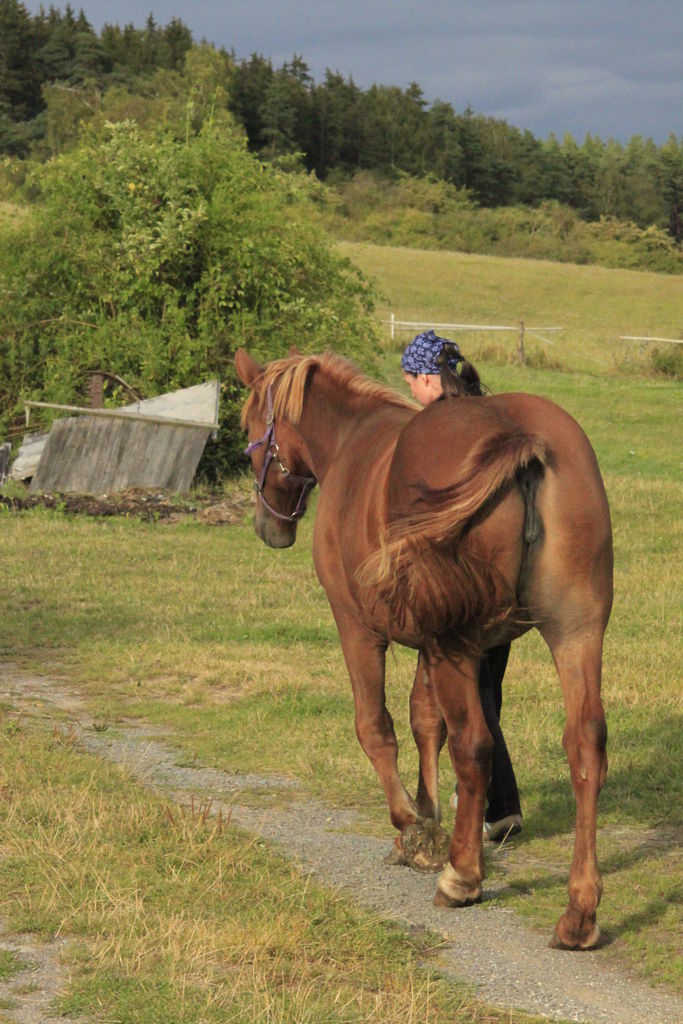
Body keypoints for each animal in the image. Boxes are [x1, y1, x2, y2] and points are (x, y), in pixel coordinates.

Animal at [236, 348, 614, 946]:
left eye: (250, 427)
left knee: (476, 745)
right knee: (584, 745)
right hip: (575, 632)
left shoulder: (360, 627)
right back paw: (579, 910)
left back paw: (463, 877)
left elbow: (377, 727)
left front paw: (412, 826)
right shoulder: (428, 643)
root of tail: (518, 437)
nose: (268, 526)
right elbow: (424, 722)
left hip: (461, 644)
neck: (352, 440)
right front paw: (431, 822)